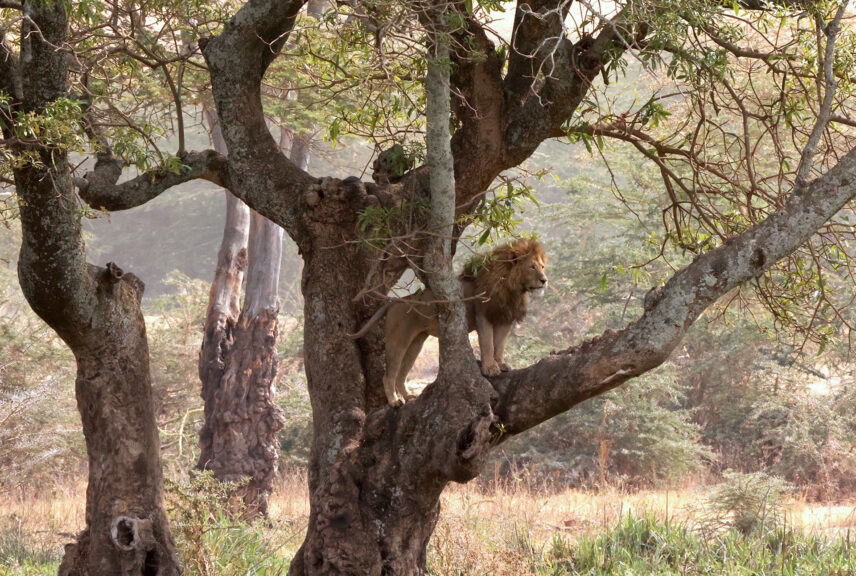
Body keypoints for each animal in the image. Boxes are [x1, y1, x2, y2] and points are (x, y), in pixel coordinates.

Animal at [352, 238, 548, 404]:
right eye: (532, 267)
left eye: (543, 267)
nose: (544, 280)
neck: (511, 288)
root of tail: (397, 301)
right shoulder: (483, 315)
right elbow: (487, 344)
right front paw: (490, 368)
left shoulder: (504, 318)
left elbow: (499, 345)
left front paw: (500, 364)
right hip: (398, 339)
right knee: (388, 375)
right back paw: (394, 402)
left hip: (416, 342)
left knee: (401, 374)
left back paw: (408, 397)